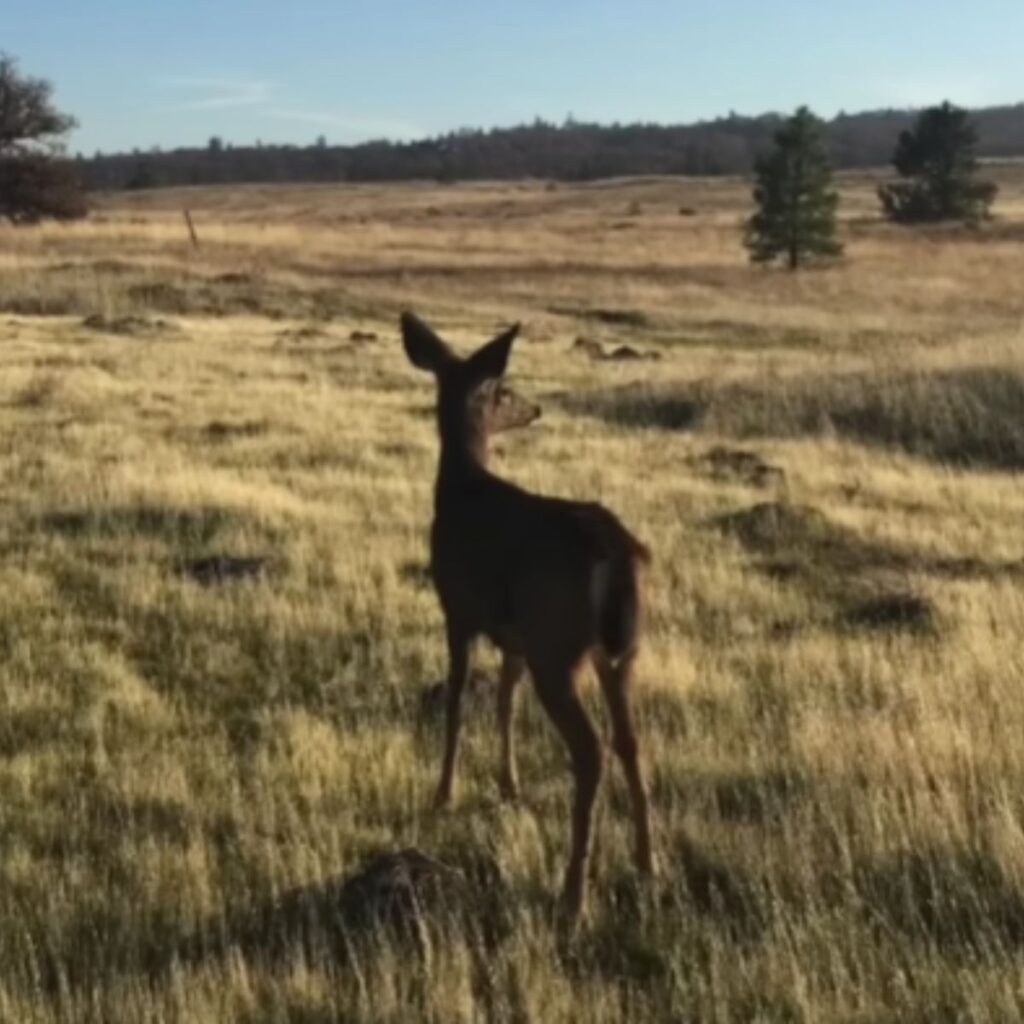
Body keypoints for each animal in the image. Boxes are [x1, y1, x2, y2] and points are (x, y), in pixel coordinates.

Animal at [401, 309, 655, 921]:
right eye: (506, 391)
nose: (534, 408)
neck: (459, 488)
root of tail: (617, 555)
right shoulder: (513, 636)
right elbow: (504, 702)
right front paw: (508, 786)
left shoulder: (457, 607)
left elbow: (458, 699)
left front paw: (443, 794)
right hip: (622, 650)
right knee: (631, 740)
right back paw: (647, 864)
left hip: (557, 644)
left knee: (591, 750)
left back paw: (574, 896)